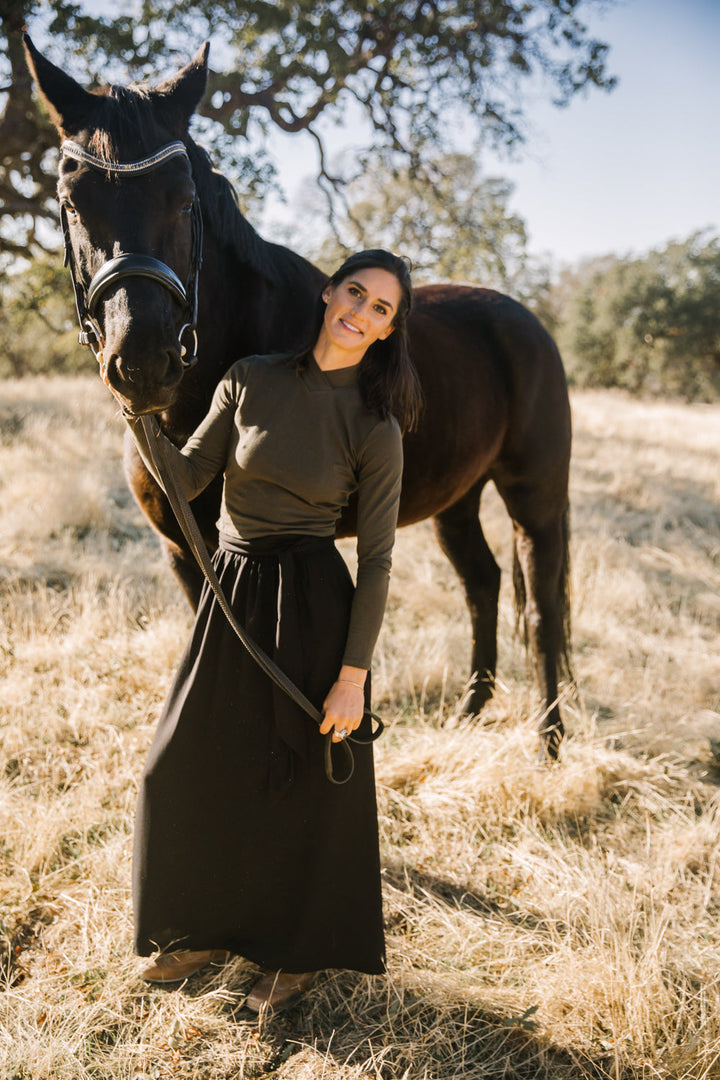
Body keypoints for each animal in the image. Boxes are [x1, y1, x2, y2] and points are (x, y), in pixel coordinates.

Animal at [23, 35, 574, 760]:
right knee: (481, 583)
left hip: (534, 496)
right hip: (457, 497)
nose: (142, 364)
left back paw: (549, 742)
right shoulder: (182, 550)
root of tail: (526, 321)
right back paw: (470, 712)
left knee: (542, 606)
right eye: (70, 197)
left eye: (185, 200)